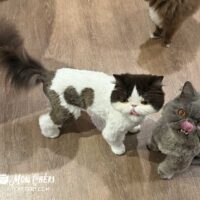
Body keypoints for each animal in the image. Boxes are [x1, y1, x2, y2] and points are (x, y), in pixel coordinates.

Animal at [0, 19, 165, 155]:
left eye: (144, 102)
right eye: (124, 99)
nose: (133, 106)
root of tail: (48, 74)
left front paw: (134, 129)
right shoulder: (112, 128)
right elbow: (114, 139)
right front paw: (119, 149)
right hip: (69, 110)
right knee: (45, 119)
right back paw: (51, 133)